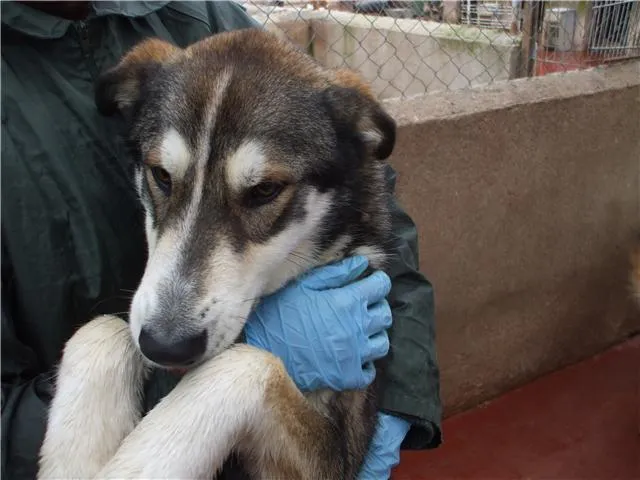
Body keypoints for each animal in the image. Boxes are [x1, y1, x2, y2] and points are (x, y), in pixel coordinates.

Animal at [37, 27, 398, 480]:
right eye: (161, 175)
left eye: (265, 190)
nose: (165, 346)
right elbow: (102, 328)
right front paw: (75, 458)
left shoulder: (339, 454)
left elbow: (249, 364)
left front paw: (140, 464)